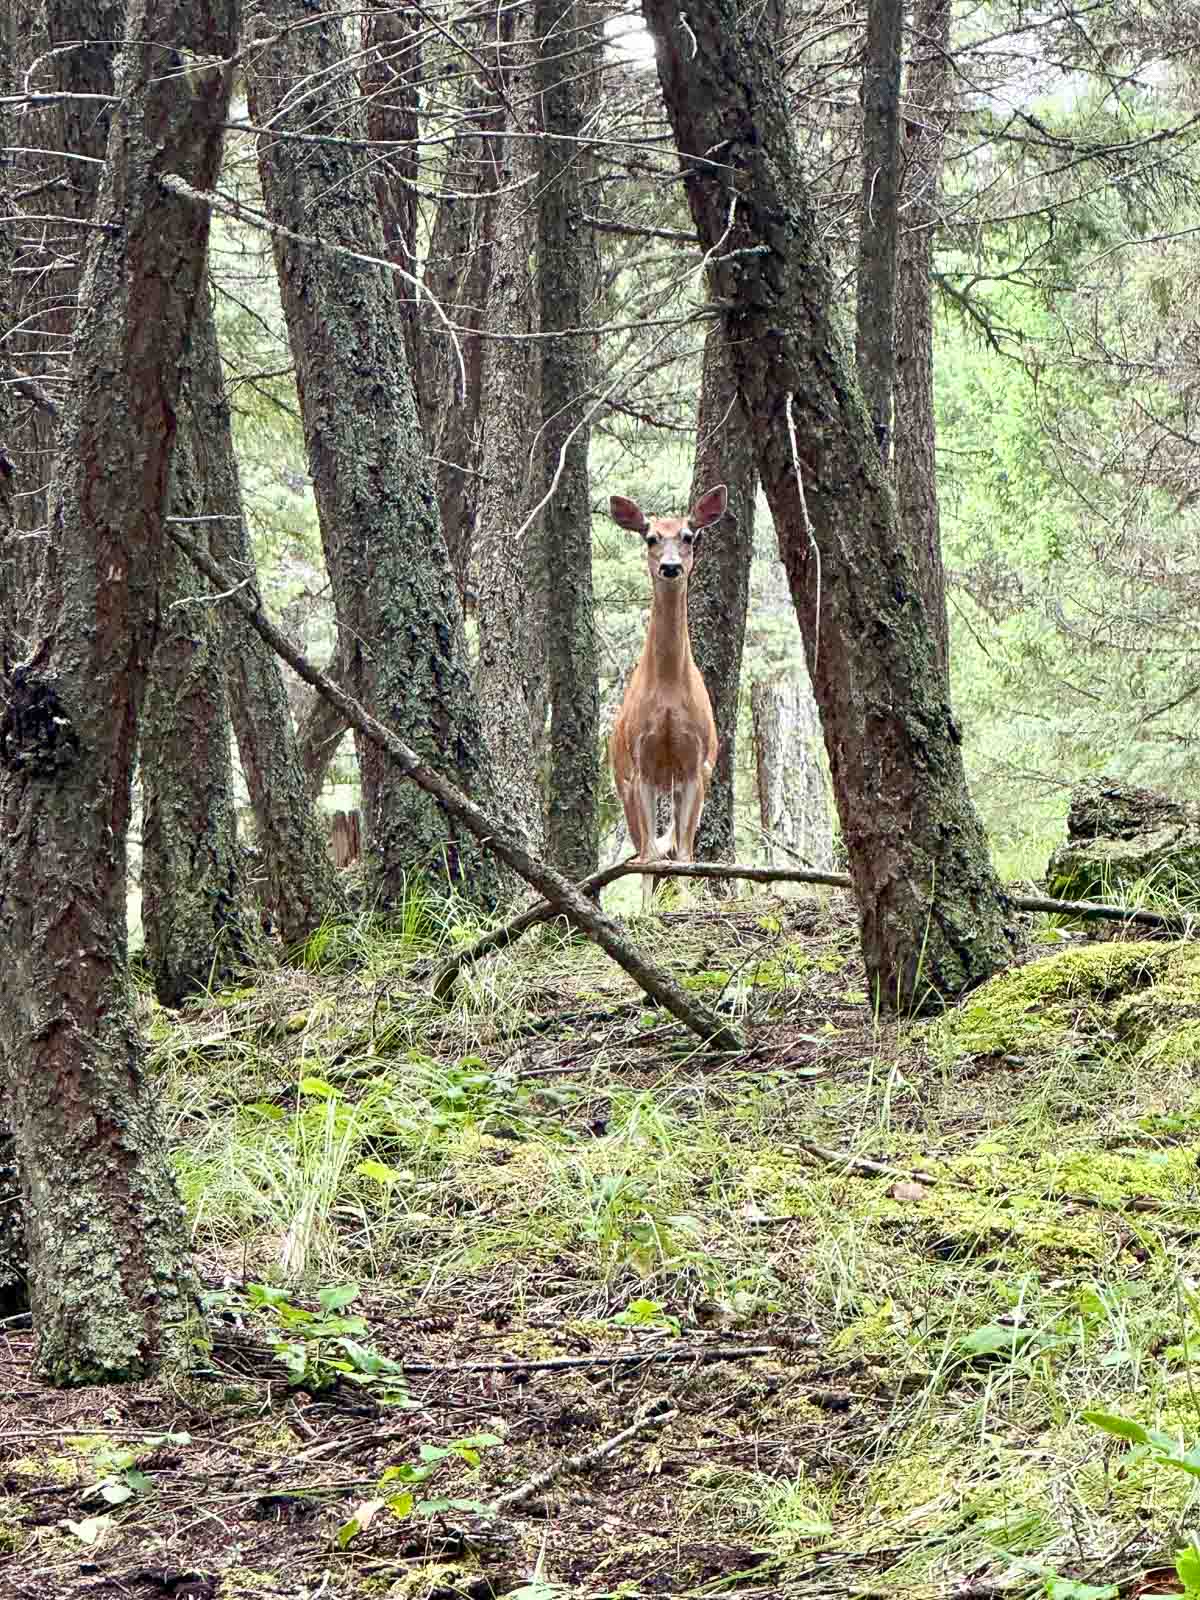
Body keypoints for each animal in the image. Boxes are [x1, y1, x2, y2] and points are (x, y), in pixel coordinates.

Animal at [609, 483, 728, 910]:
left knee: (674, 841)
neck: (668, 696)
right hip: (622, 779)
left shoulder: (696, 764)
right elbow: (648, 855)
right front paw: (646, 911)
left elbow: (686, 853)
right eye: (651, 537)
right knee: (642, 847)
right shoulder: (640, 765)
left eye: (689, 536)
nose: (671, 567)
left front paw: (688, 904)